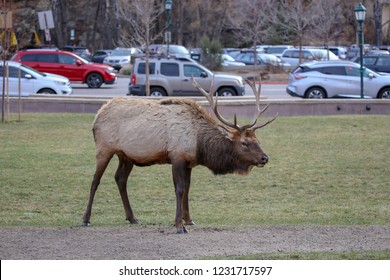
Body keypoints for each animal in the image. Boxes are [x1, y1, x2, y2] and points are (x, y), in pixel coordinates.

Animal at [83, 76, 276, 234]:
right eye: (244, 143)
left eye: (257, 139)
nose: (265, 158)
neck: (199, 144)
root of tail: (96, 117)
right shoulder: (177, 157)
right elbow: (179, 189)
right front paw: (179, 226)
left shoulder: (189, 162)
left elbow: (188, 189)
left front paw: (189, 220)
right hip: (104, 148)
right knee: (95, 180)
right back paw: (86, 219)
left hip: (125, 155)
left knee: (120, 179)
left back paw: (132, 218)